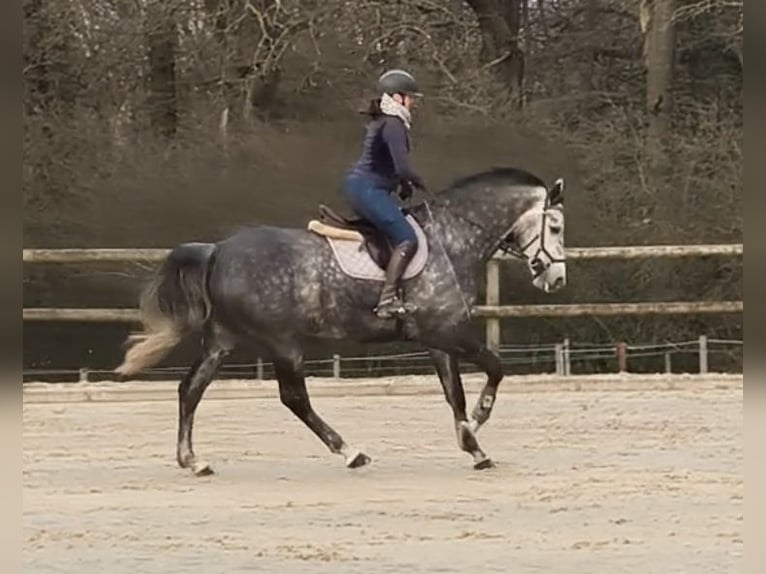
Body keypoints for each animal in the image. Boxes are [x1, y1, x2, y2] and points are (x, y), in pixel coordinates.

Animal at [115, 166, 567, 476]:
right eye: (556, 226)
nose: (556, 278)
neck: (453, 238)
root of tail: (218, 250)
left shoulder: (437, 337)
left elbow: (452, 392)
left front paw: (473, 446)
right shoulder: (446, 329)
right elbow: (495, 367)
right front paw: (477, 422)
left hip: (222, 340)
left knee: (191, 389)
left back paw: (193, 461)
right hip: (281, 340)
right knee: (294, 398)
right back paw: (351, 452)